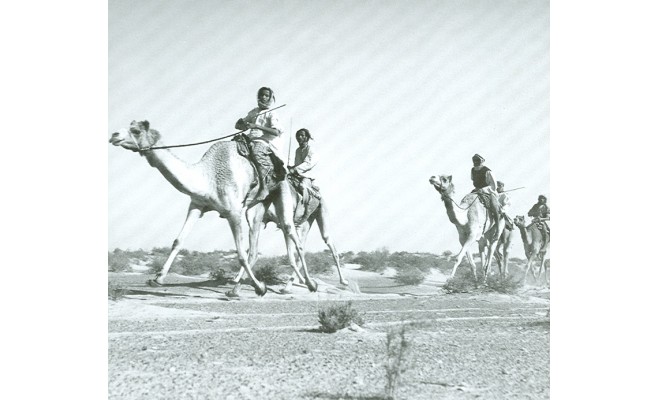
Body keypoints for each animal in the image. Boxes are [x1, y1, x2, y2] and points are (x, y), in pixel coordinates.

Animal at [109, 120, 319, 296]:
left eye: (136, 130)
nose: (114, 135)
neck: (208, 177)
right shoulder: (197, 205)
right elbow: (178, 241)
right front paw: (157, 279)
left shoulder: (233, 212)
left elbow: (240, 254)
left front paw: (261, 288)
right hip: (258, 206)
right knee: (255, 246)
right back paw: (236, 289)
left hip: (283, 195)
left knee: (293, 235)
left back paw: (309, 284)